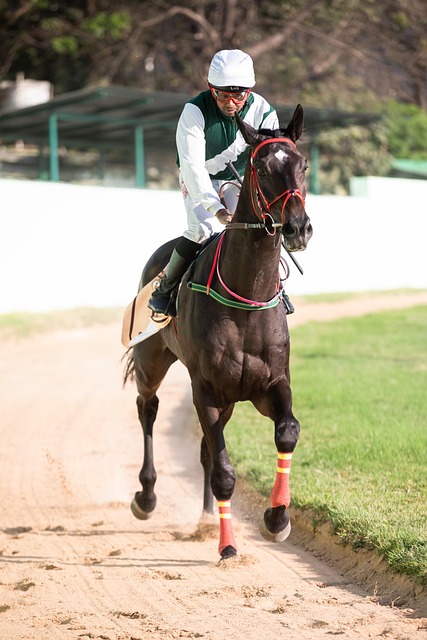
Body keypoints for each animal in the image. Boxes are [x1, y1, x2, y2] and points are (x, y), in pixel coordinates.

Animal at [123, 104, 313, 559]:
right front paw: (228, 547)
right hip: (152, 363)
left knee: (207, 450)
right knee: (148, 408)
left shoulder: (270, 383)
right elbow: (225, 471)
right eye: (262, 168)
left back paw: (208, 518)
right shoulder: (205, 388)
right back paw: (146, 497)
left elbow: (287, 432)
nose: (298, 227)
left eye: (303, 164)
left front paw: (277, 519)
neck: (247, 296)